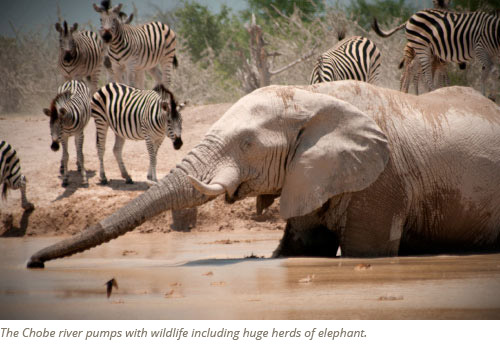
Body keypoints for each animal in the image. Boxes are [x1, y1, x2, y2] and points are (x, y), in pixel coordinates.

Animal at [26, 81, 500, 268]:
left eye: (247, 144)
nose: (33, 261)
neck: (310, 95)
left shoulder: (383, 181)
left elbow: (366, 252)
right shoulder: (308, 175)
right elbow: (304, 250)